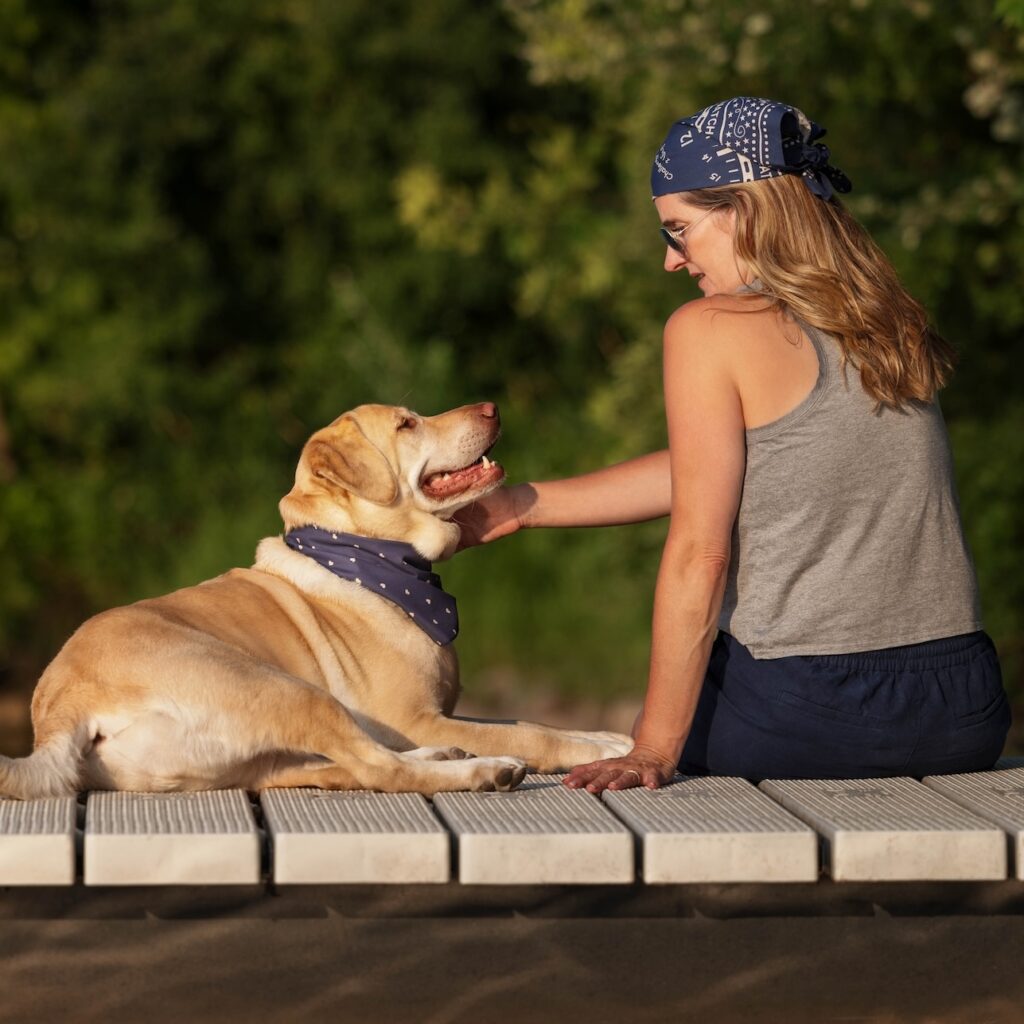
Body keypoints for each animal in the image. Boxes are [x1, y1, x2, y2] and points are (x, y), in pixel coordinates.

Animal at [2, 401, 630, 798]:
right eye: (407, 424)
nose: (493, 407)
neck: (373, 556)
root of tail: (58, 708)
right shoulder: (415, 717)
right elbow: (526, 731)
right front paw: (579, 747)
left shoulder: (437, 714)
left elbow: (517, 716)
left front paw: (604, 739)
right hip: (285, 689)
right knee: (382, 768)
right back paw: (483, 772)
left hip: (264, 756)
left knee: (351, 766)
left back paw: (449, 759)